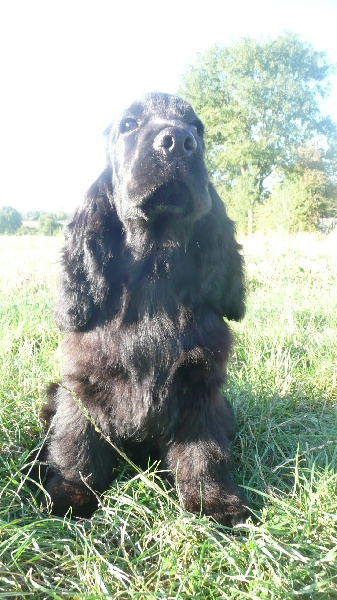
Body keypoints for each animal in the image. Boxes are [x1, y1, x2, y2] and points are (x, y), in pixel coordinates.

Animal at [35, 90, 248, 524]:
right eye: (129, 125)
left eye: (197, 128)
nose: (178, 141)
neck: (154, 266)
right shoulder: (81, 385)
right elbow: (76, 443)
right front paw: (70, 496)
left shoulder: (201, 387)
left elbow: (205, 452)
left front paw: (214, 503)